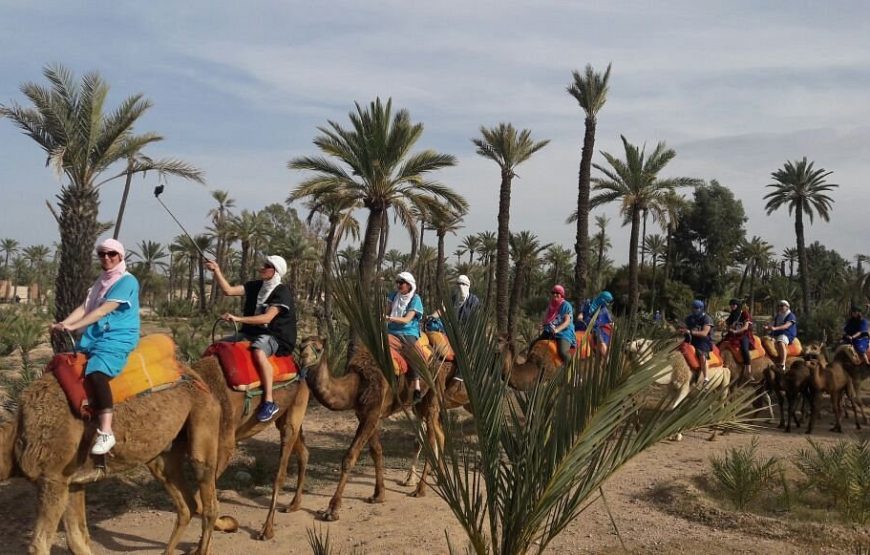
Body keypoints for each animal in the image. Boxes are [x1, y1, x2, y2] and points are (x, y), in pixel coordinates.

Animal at [0, 367, 222, 555]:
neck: (17, 434)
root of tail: (198, 377)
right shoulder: (71, 483)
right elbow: (77, 540)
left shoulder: (53, 478)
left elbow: (39, 545)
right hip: (163, 454)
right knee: (186, 504)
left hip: (203, 423)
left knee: (209, 505)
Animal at [190, 337, 316, 540]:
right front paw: (226, 524)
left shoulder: (224, 444)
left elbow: (199, 501)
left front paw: (227, 523)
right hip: (286, 415)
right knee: (304, 452)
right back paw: (294, 505)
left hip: (294, 412)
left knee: (281, 472)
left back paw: (267, 530)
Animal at [302, 337, 448, 521]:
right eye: (300, 347)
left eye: (319, 348)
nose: (303, 359)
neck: (357, 383)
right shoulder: (365, 414)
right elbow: (376, 451)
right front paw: (378, 495)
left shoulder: (372, 411)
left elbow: (350, 457)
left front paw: (332, 510)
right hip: (419, 404)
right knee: (439, 433)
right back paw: (440, 480)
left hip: (432, 393)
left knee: (431, 436)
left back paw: (419, 490)